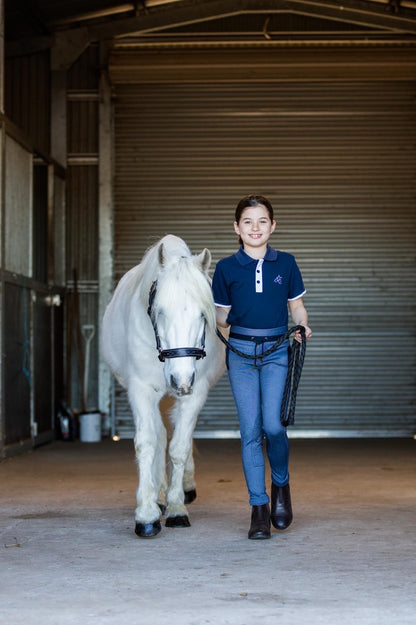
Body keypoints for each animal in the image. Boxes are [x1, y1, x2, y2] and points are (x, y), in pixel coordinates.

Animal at [101, 234, 224, 536]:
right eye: (159, 312)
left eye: (203, 315)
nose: (180, 380)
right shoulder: (141, 390)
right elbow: (147, 442)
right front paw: (146, 514)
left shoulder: (194, 393)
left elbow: (179, 446)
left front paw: (177, 508)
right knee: (158, 435)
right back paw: (157, 495)